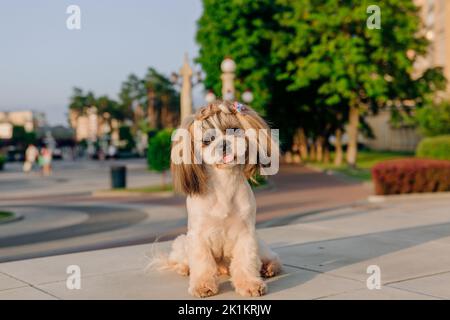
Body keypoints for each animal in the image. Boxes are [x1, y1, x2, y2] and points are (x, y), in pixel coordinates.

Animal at [153, 99, 284, 298]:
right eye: (207, 141)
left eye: (234, 130)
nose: (223, 144)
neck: (224, 182)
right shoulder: (198, 236)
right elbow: (202, 262)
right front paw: (203, 286)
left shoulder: (246, 234)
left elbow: (246, 261)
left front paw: (250, 284)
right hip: (183, 242)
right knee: (182, 260)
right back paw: (184, 268)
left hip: (259, 243)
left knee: (268, 257)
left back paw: (269, 267)